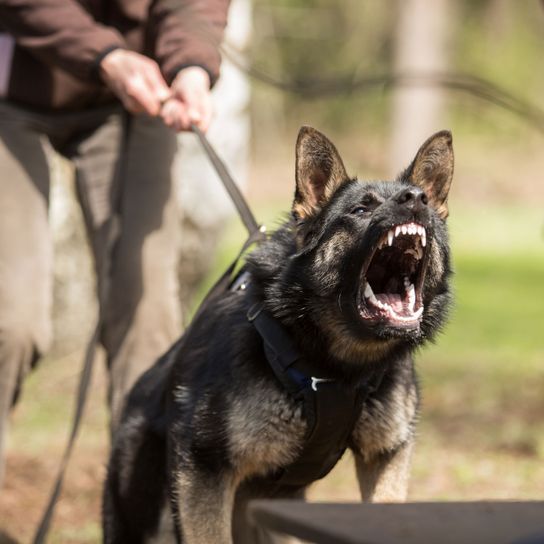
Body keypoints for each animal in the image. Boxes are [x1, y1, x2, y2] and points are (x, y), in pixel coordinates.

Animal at [103, 126, 454, 544]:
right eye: (360, 210)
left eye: (426, 205)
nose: (417, 199)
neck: (338, 367)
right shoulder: (202, 471)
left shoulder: (384, 456)